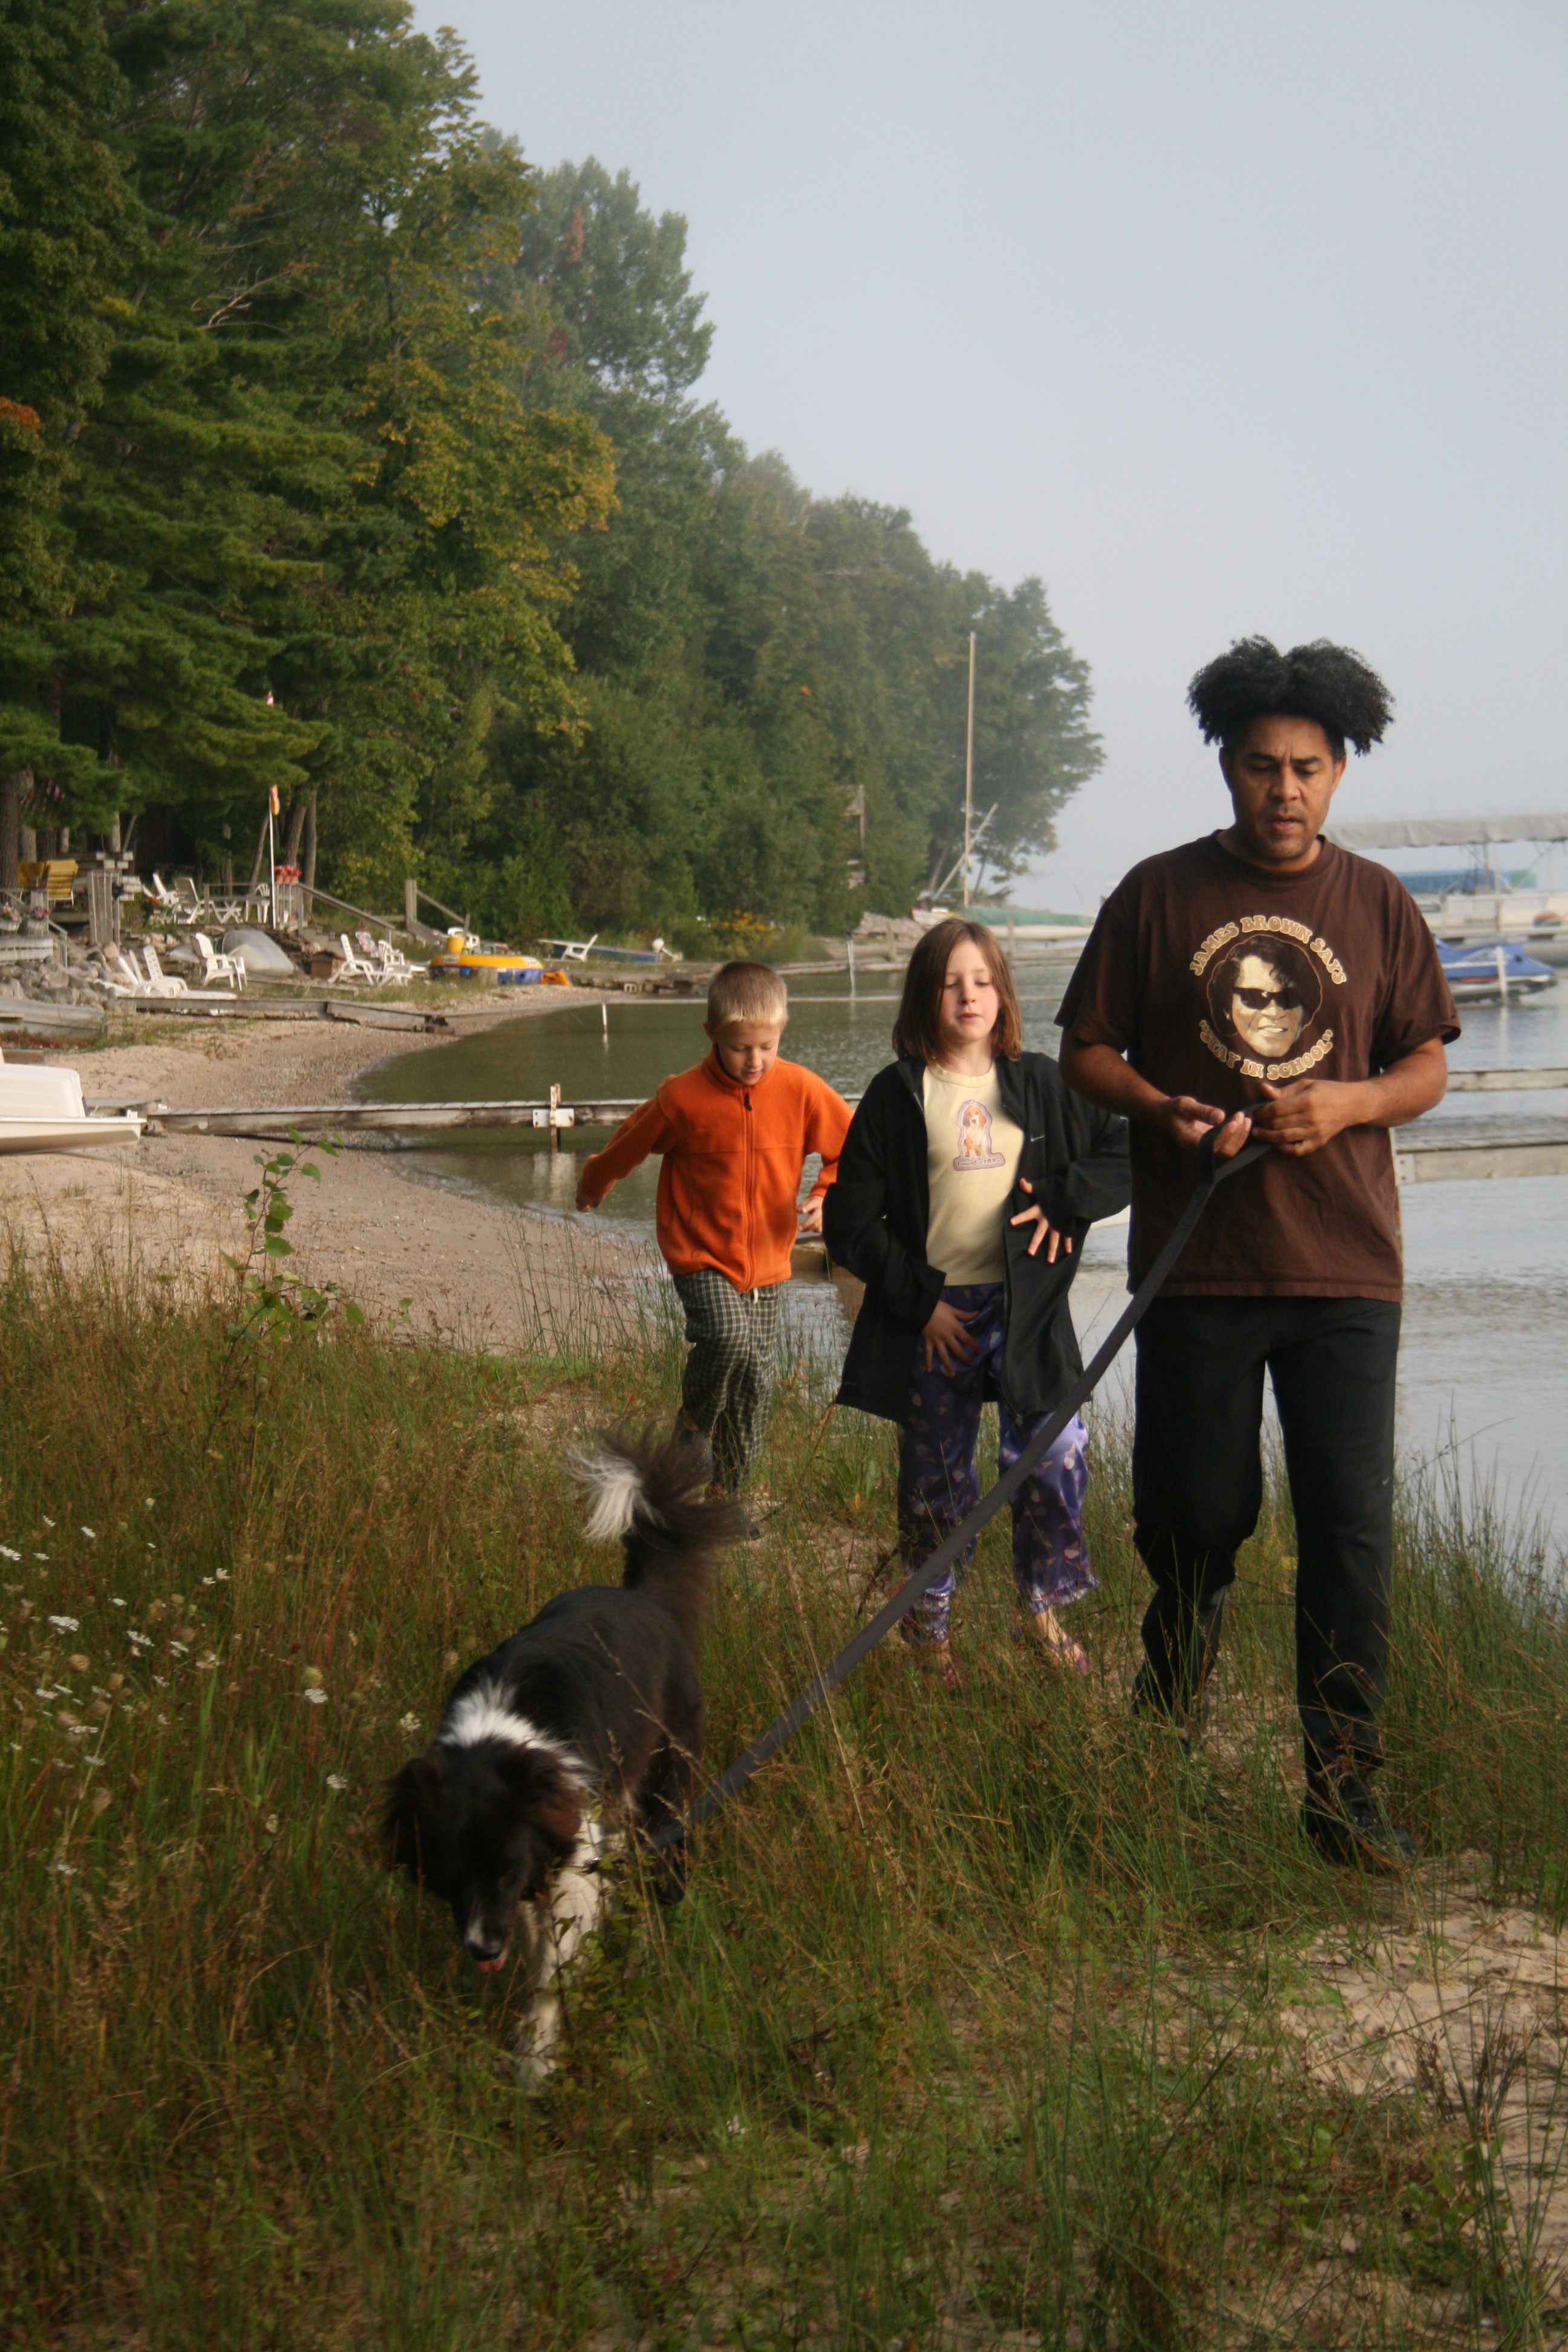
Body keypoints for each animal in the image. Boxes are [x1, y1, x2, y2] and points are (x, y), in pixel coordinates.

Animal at [384, 1429, 743, 2082]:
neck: (497, 1739)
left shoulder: (574, 1849)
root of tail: (645, 1599)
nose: (483, 1950)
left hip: (665, 1783)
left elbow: (553, 1971)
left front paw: (533, 2062)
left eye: (504, 1871)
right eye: (450, 1875)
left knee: (663, 1871)